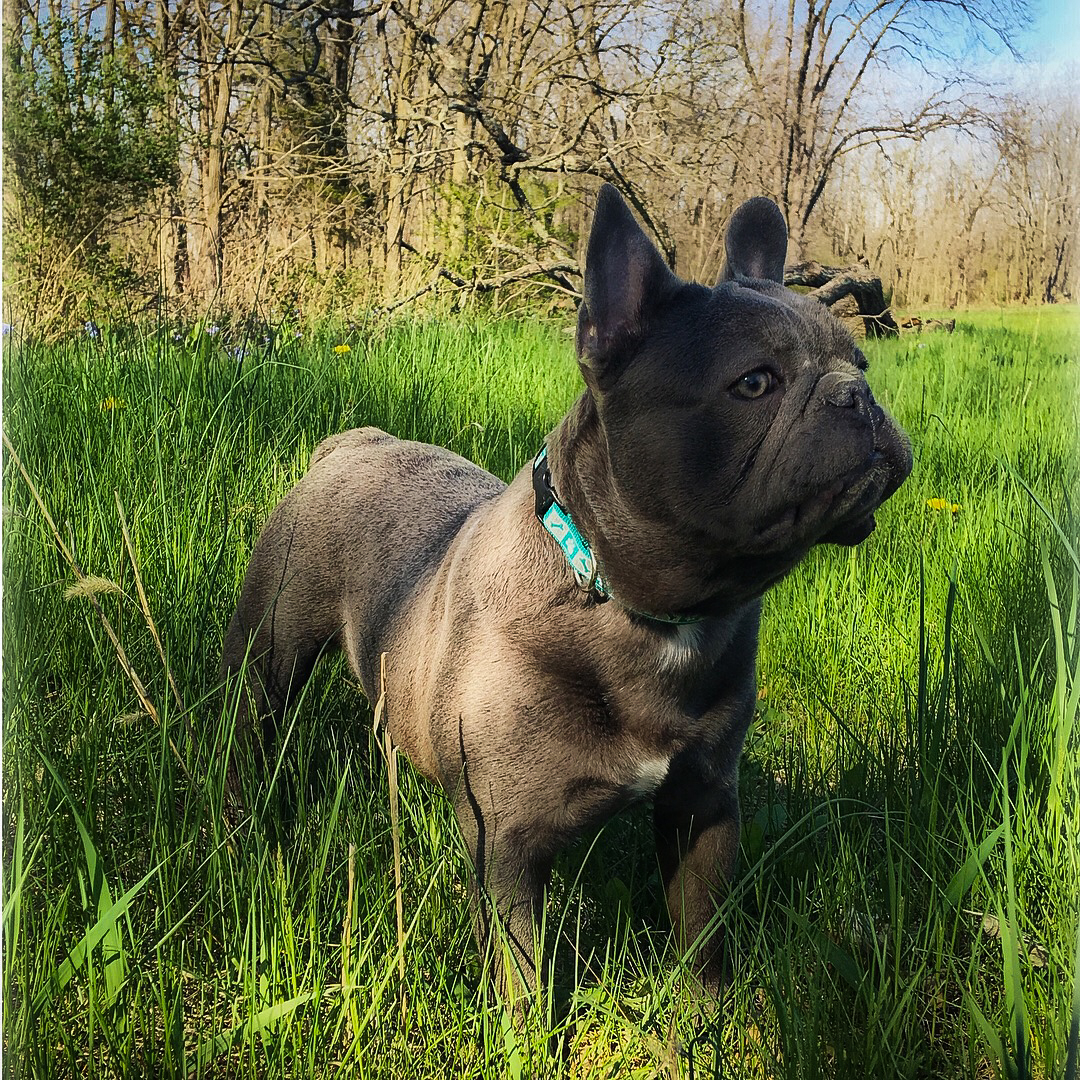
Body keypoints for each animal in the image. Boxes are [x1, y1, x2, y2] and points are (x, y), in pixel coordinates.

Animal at [223, 187, 915, 1002]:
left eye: (861, 361)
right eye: (754, 383)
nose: (856, 395)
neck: (630, 604)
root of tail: (354, 444)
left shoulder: (704, 803)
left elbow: (703, 931)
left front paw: (710, 1014)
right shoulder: (508, 843)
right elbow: (521, 969)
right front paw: (526, 1026)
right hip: (266, 659)